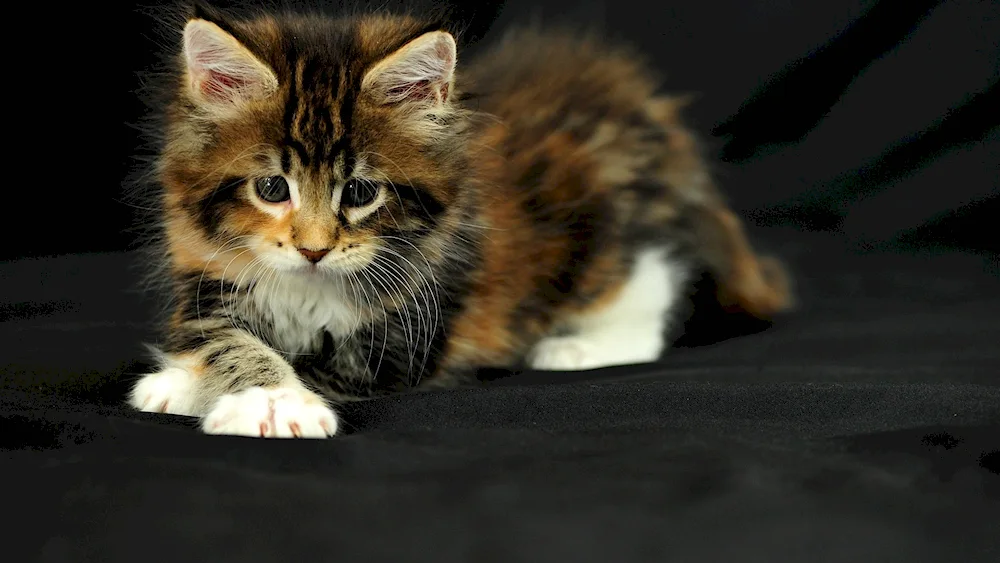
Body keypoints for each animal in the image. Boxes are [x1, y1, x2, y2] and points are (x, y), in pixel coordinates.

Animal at [129, 2, 792, 438]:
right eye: (272, 188)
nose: (314, 250)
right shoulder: (207, 280)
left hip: (613, 230)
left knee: (648, 289)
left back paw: (574, 348)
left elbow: (311, 362)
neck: (307, 287)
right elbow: (221, 340)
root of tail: (644, 108)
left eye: (360, 191)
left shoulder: (403, 335)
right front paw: (179, 382)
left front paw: (271, 405)